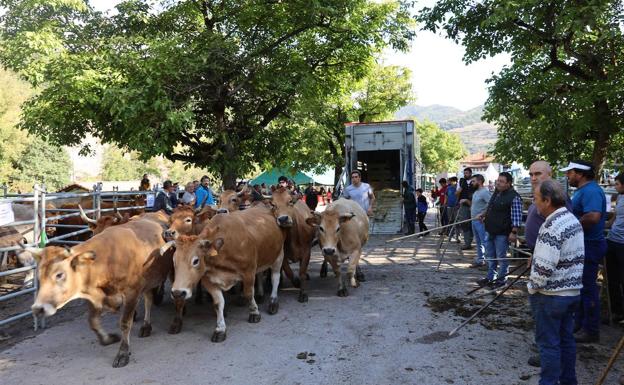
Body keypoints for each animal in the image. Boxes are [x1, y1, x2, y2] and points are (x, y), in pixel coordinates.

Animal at [27, 212, 171, 368]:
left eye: (59, 274)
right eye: (39, 275)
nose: (37, 308)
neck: (109, 260)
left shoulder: (132, 293)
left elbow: (125, 323)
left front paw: (123, 353)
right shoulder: (93, 295)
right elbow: (93, 321)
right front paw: (107, 339)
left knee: (149, 300)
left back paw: (146, 325)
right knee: (149, 298)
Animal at [161, 206, 288, 340]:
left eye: (195, 261)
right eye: (174, 261)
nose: (178, 293)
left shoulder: (248, 272)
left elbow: (248, 294)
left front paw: (254, 312)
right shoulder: (208, 280)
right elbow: (218, 304)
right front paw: (220, 329)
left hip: (279, 255)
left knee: (275, 278)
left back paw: (273, 301)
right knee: (259, 275)